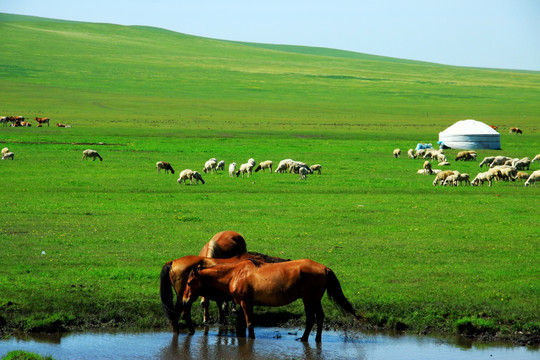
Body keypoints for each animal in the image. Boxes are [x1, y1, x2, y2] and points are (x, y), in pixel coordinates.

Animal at [184, 260, 360, 342]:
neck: (235, 273)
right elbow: (243, 324)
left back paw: (304, 338)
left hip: (309, 299)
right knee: (319, 317)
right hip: (314, 299)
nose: (184, 300)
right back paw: (314, 339)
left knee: (311, 318)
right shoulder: (246, 304)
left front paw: (251, 338)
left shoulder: (246, 303)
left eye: (189, 282)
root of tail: (324, 268)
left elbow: (249, 323)